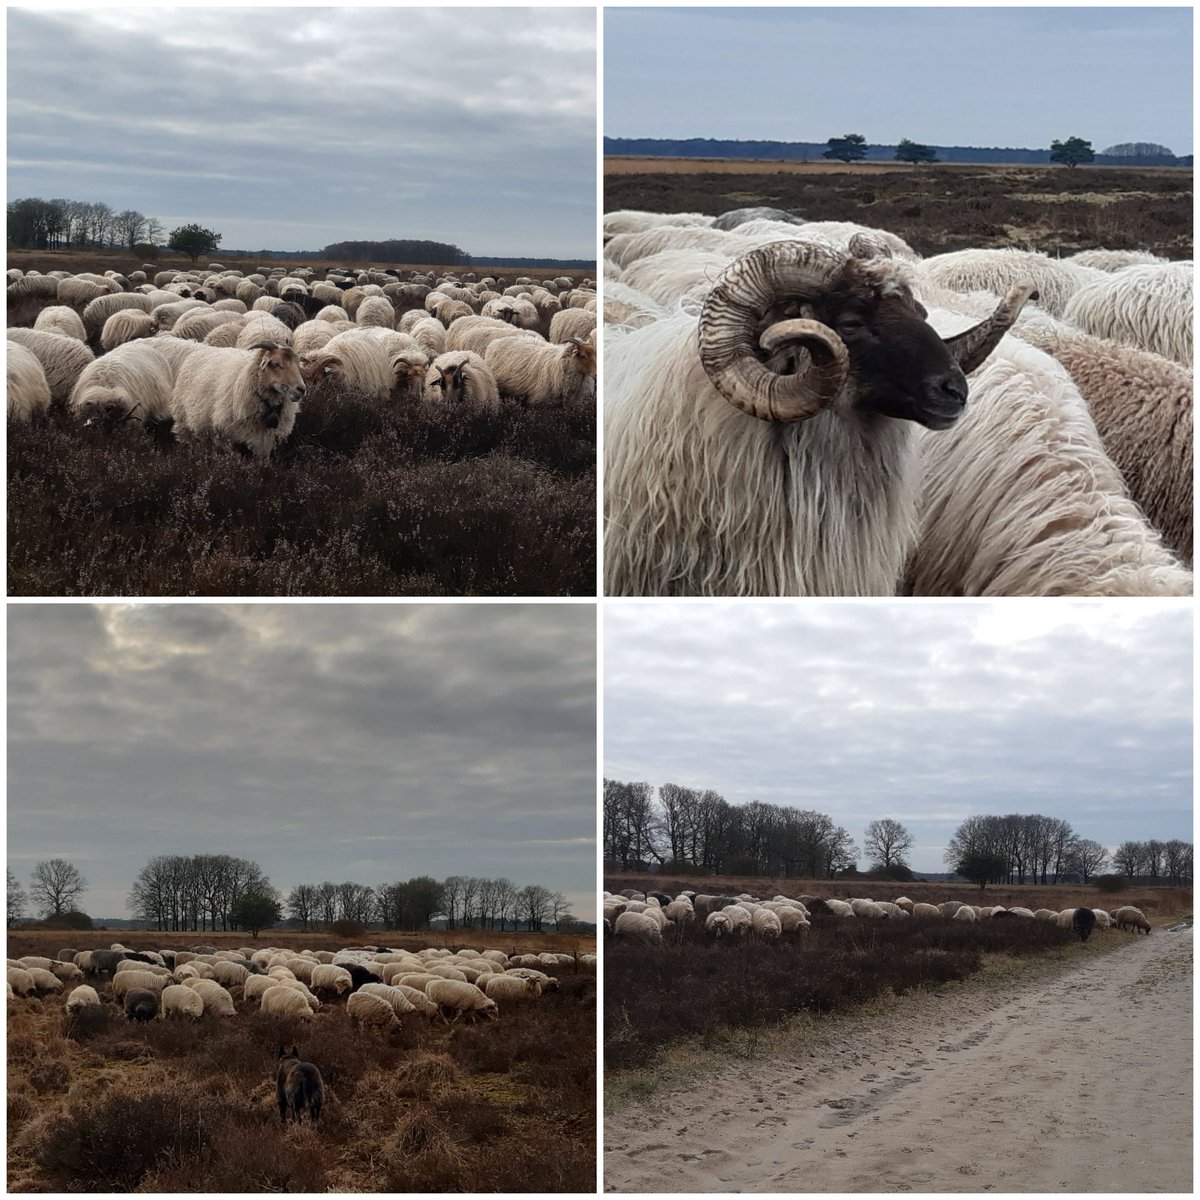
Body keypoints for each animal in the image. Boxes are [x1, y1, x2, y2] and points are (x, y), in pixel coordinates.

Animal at [171, 340, 307, 456]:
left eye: (297, 364)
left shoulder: (265, 439)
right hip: (184, 423)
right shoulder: (229, 436)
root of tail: (197, 348)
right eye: (275, 364)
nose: (301, 389)